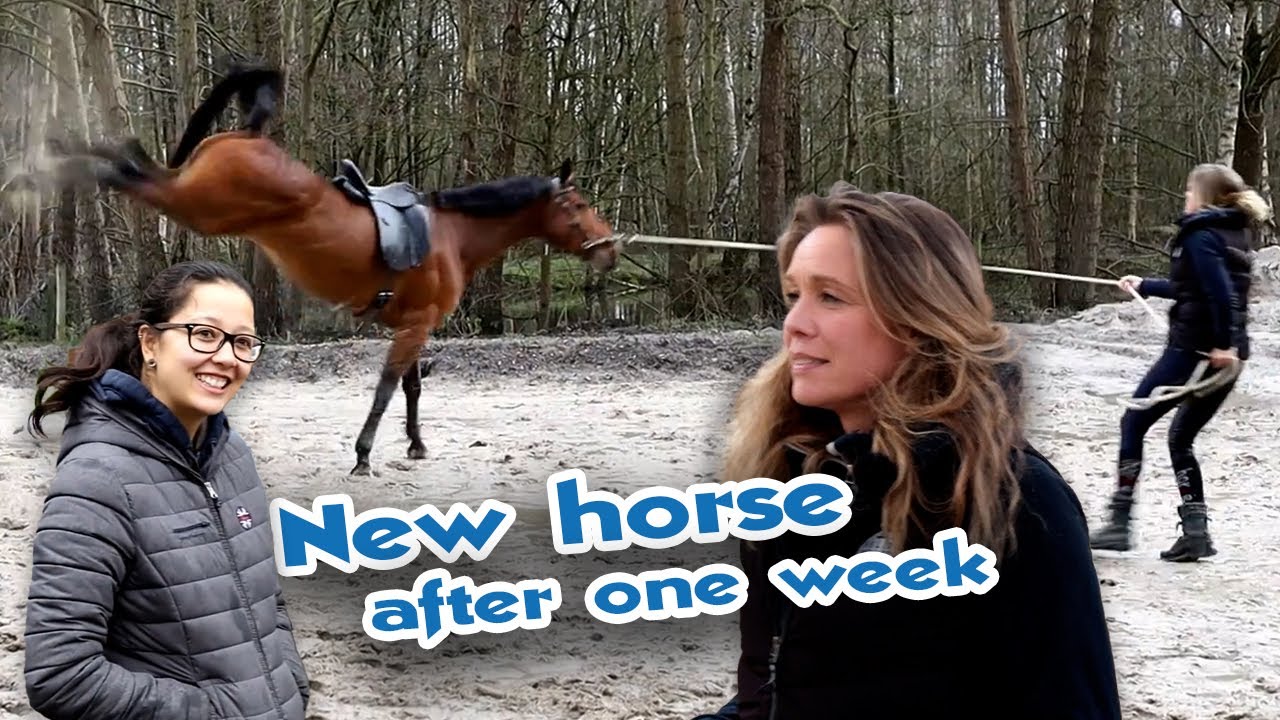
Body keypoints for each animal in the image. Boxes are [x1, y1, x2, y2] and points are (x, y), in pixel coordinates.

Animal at [45, 59, 620, 476]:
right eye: (577, 205)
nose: (610, 249)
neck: (450, 237)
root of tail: (251, 137)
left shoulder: (415, 324)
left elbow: (411, 389)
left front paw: (415, 445)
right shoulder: (415, 327)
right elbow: (387, 389)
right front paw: (364, 455)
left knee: (130, 163)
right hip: (193, 206)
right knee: (127, 168)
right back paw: (48, 160)